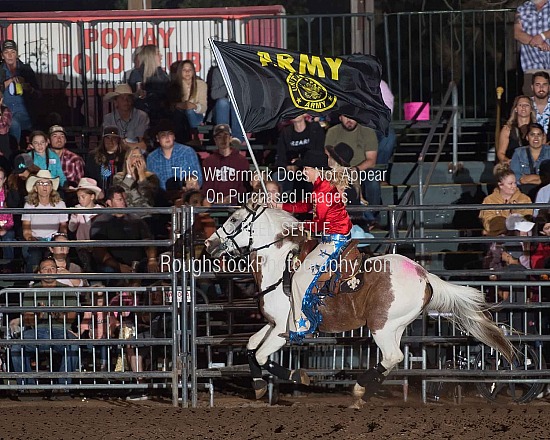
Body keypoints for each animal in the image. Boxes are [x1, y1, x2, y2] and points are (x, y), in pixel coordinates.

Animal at [205, 202, 516, 406]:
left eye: (234, 220)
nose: (208, 245)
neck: (279, 265)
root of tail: (423, 273)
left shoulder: (284, 328)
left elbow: (261, 355)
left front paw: (297, 376)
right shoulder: (272, 324)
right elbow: (250, 348)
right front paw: (259, 387)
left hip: (381, 326)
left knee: (392, 357)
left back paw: (357, 389)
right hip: (395, 326)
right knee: (392, 359)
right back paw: (364, 392)